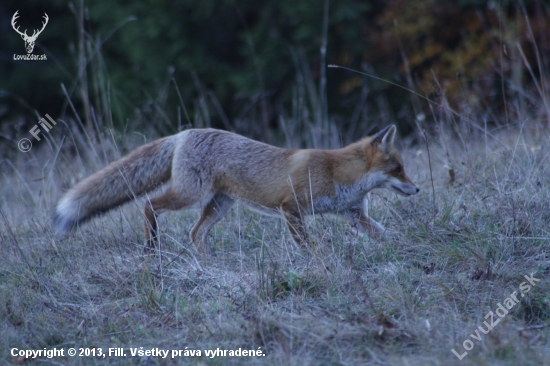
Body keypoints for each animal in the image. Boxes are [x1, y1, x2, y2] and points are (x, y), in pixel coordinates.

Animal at [54, 126, 420, 254]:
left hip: (219, 205)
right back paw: (152, 245)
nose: (417, 189)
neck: (338, 173)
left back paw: (206, 265)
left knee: (195, 233)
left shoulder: (354, 214)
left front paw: (405, 249)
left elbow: (385, 234)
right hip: (189, 196)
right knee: (148, 204)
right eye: (398, 169)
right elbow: (308, 246)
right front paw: (319, 263)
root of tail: (185, 133)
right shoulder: (291, 208)